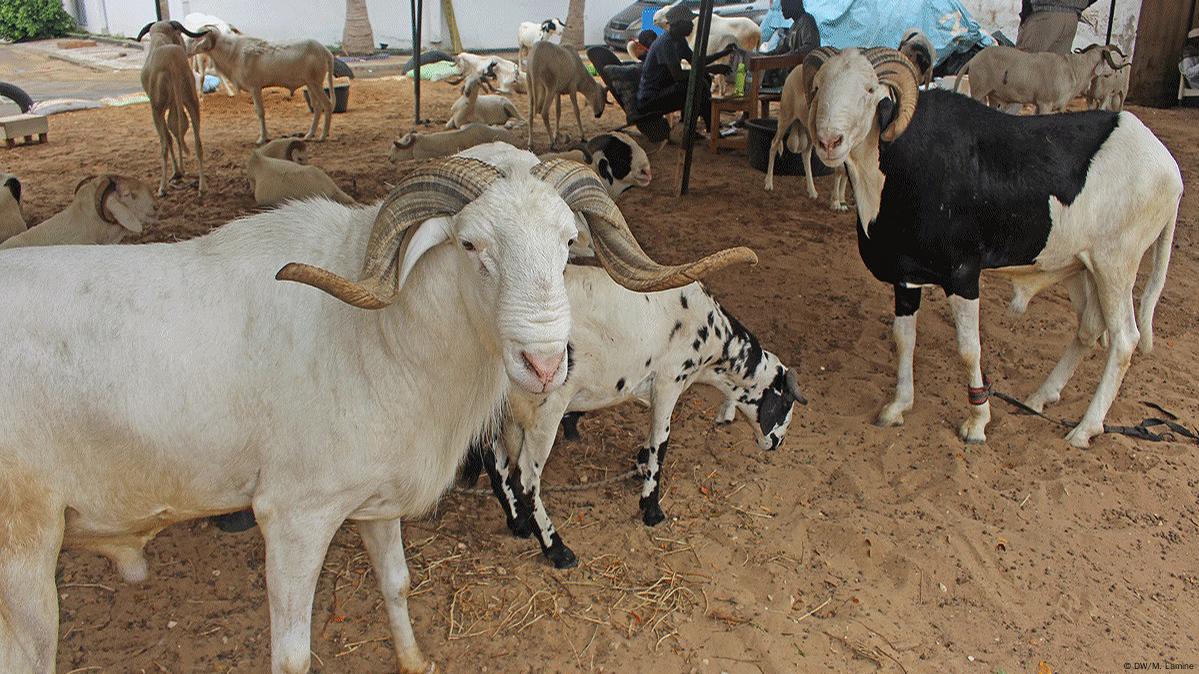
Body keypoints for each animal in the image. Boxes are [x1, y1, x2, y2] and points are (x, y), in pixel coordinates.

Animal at [137, 21, 207, 197]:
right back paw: (202, 186)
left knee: (164, 143)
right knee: (195, 141)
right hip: (191, 100)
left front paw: (177, 172)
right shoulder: (177, 105)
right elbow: (177, 132)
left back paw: (162, 187)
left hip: (156, 108)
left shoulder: (159, 108)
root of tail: (171, 61)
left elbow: (168, 137)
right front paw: (180, 170)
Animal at [188, 28, 335, 144]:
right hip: (310, 84)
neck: (233, 53)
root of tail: (325, 51)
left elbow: (260, 112)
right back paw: (309, 135)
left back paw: (322, 136)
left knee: (327, 105)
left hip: (315, 83)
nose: (187, 51)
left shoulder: (255, 88)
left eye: (196, 39)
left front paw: (262, 138)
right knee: (317, 107)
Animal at [466, 268, 801, 568]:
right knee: (525, 479)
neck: (714, 339)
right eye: (786, 403)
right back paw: (557, 550)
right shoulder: (669, 380)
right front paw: (651, 509)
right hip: (544, 409)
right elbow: (661, 441)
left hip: (496, 411)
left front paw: (640, 465)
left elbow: (652, 438)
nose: (778, 443)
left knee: (495, 464)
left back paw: (519, 524)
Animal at [762, 63, 848, 211]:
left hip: (808, 128)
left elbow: (846, 172)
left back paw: (812, 192)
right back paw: (768, 184)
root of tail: (794, 70)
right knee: (774, 144)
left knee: (806, 154)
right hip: (785, 116)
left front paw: (842, 201)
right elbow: (840, 170)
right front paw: (836, 203)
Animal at [953, 43, 1128, 114]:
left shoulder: (1046, 104)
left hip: (992, 94)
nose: (1116, 72)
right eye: (1109, 59)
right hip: (979, 89)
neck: (1075, 69)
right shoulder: (1045, 103)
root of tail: (973, 60)